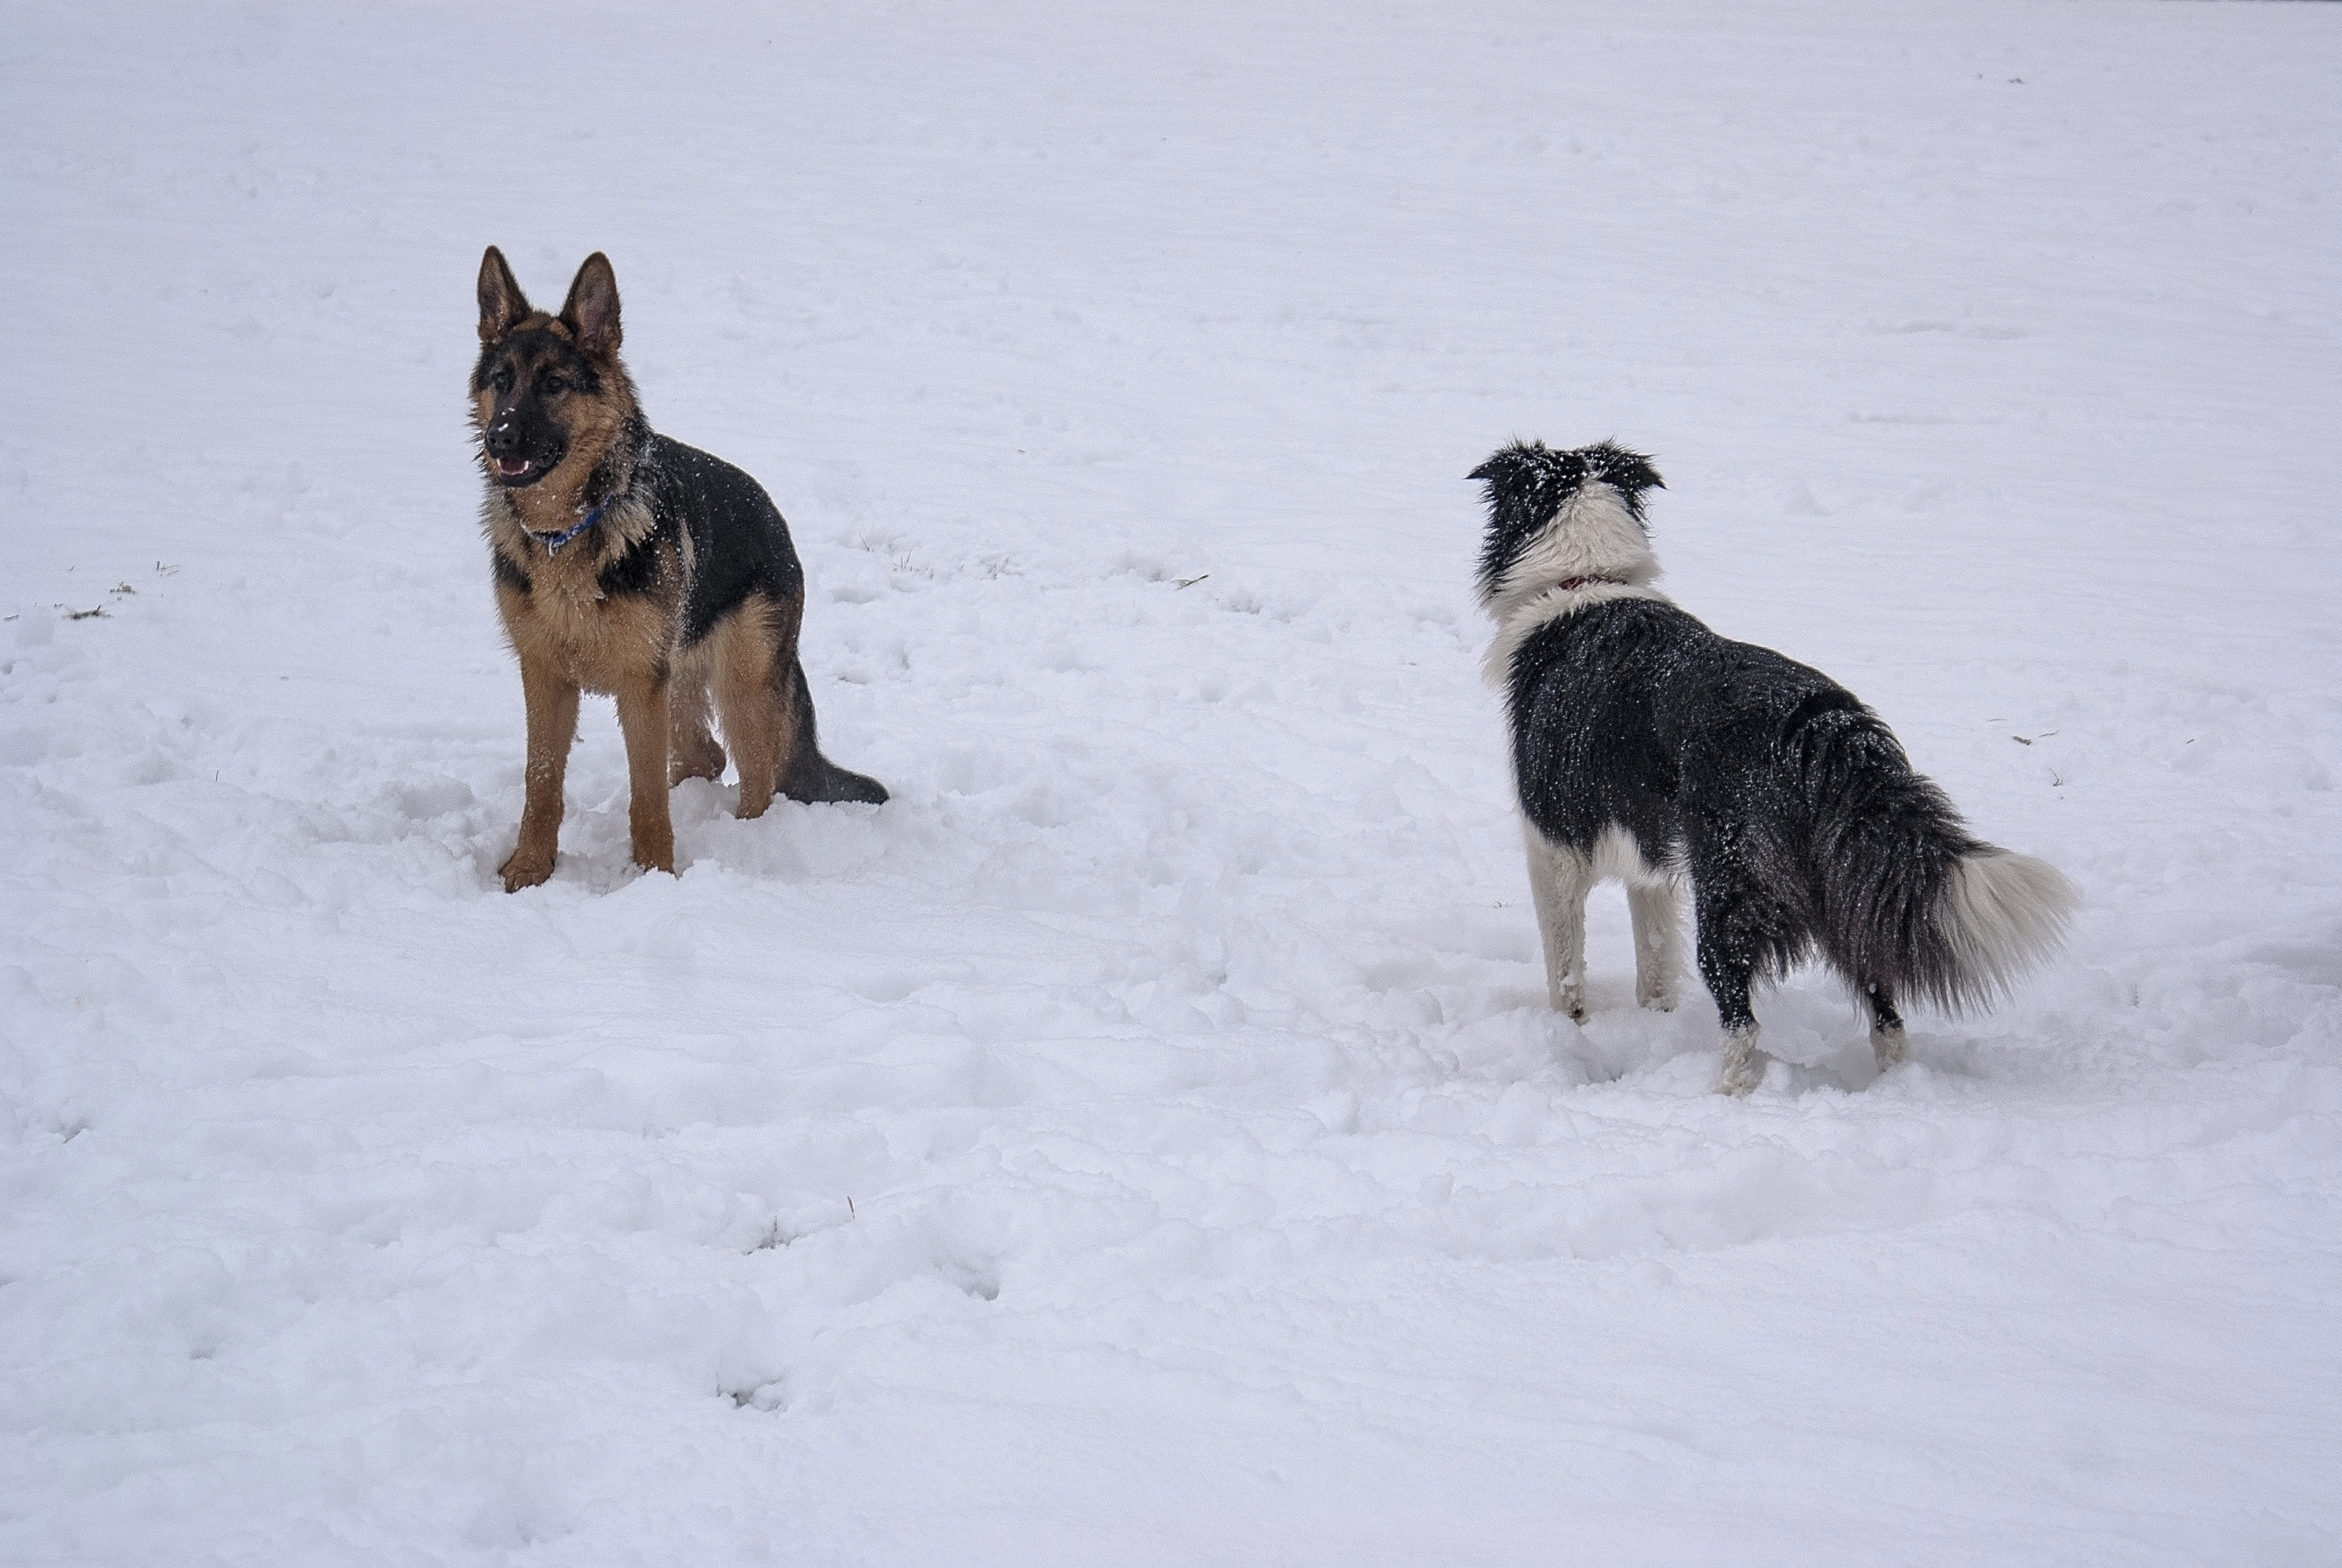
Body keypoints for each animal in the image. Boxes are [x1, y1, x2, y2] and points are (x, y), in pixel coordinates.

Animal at [470, 249, 880, 886]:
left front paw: (654, 877)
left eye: (554, 383)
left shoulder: (641, 685)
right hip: (684, 680)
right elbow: (541, 783)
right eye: (501, 381)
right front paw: (529, 869)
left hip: (741, 684)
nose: (501, 437)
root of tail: (776, 521)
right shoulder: (546, 676)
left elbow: (645, 796)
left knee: (758, 778)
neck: (572, 529)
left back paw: (747, 846)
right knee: (705, 756)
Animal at [1470, 433, 2080, 1082]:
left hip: (1731, 887)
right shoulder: (1650, 861)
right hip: (1846, 884)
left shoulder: (1552, 843)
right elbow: (1654, 964)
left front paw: (1570, 1032)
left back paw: (1727, 1091)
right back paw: (1894, 1082)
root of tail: (1819, 729)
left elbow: (1565, 965)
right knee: (1885, 1005)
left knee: (1742, 1019)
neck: (1585, 580)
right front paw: (1655, 1022)